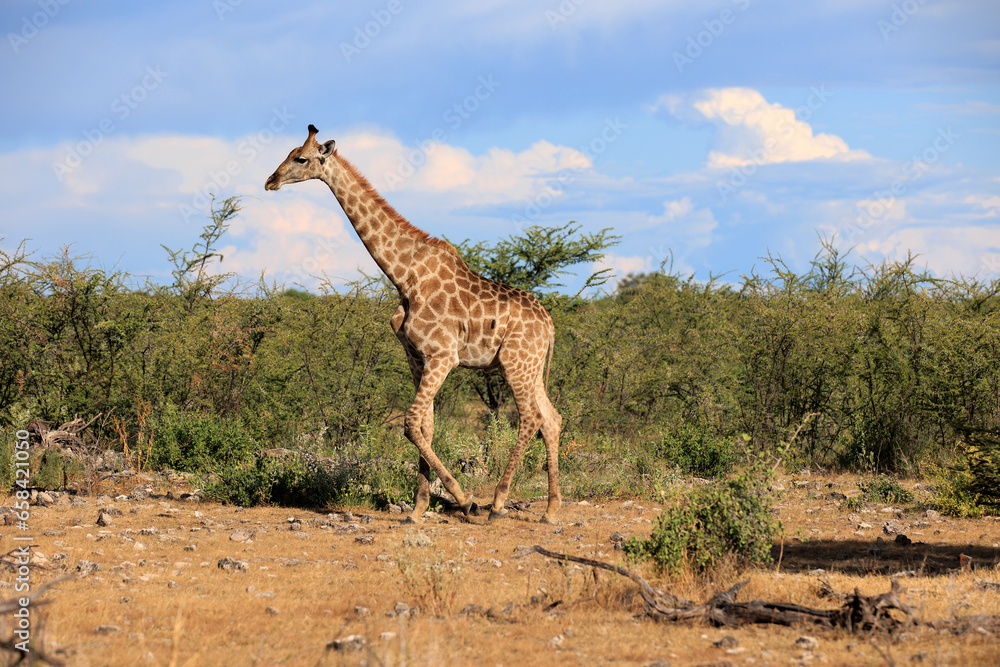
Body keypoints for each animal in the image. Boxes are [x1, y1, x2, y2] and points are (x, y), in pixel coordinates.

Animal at [265, 125, 563, 524]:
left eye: (301, 158)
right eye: (288, 153)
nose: (270, 181)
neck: (403, 276)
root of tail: (549, 324)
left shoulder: (443, 356)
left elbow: (409, 424)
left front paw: (464, 499)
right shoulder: (417, 358)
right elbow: (426, 425)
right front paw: (419, 507)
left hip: (516, 363)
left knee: (530, 418)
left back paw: (498, 502)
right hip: (526, 366)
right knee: (551, 418)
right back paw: (551, 508)